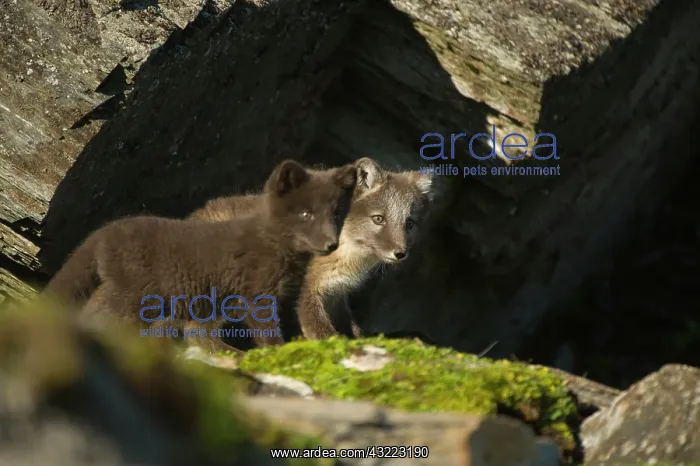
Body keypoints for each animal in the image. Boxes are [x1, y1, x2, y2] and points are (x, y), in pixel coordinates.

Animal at [43, 160, 358, 352]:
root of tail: (104, 231)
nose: (331, 244)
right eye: (306, 214)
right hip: (135, 296)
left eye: (336, 214)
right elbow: (269, 336)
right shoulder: (256, 297)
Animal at [189, 157, 435, 339]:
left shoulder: (336, 294)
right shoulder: (307, 293)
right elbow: (325, 334)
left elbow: (354, 332)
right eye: (378, 219)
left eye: (409, 223)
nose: (400, 253)